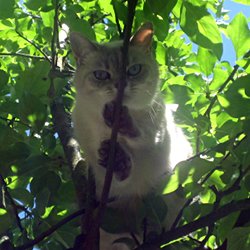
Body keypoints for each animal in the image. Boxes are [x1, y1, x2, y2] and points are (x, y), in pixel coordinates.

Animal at [70, 22, 191, 249]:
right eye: (101, 75)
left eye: (134, 70)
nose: (120, 85)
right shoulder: (102, 173)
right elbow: (118, 174)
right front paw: (117, 159)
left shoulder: (158, 137)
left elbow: (141, 137)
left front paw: (123, 126)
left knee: (154, 227)